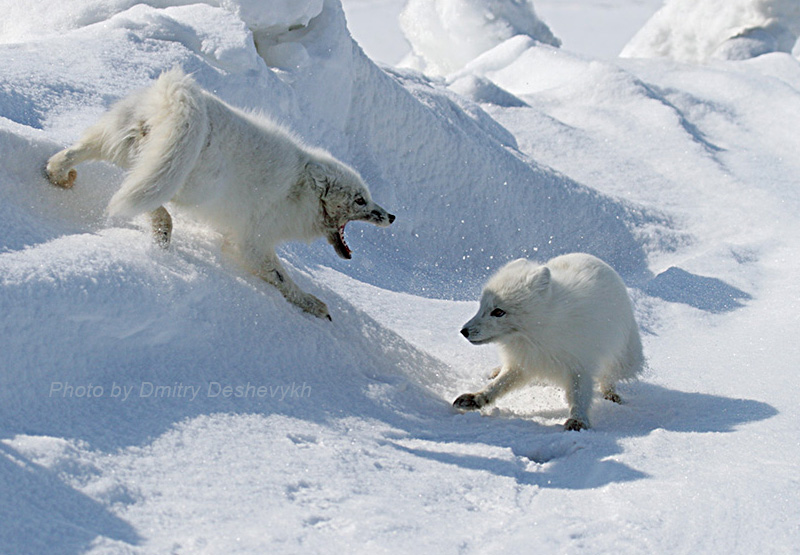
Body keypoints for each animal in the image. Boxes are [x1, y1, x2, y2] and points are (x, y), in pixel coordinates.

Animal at [45, 68, 396, 322]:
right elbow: (281, 277)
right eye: (360, 200)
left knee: (82, 152)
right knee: (146, 199)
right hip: (185, 183)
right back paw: (162, 229)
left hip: (124, 147)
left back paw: (57, 173)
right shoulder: (252, 241)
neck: (299, 191)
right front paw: (312, 304)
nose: (392, 216)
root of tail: (180, 92)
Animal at [456, 254, 644, 432]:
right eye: (481, 307)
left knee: (609, 375)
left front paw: (578, 420)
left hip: (623, 358)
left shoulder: (579, 363)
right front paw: (475, 398)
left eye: (498, 312)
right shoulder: (522, 362)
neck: (537, 336)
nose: (464, 331)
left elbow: (579, 395)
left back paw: (611, 393)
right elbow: (498, 386)